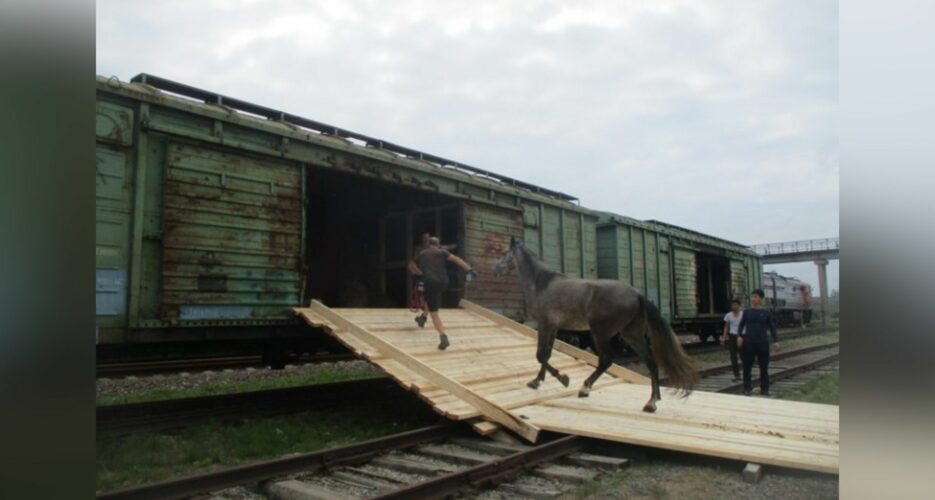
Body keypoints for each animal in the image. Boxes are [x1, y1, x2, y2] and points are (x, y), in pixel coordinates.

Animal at [494, 238, 700, 414]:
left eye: (504, 252)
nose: (494, 269)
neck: (541, 284)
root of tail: (636, 294)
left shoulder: (545, 325)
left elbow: (541, 355)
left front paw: (563, 379)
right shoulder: (552, 328)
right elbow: (546, 355)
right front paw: (536, 381)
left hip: (600, 333)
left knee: (606, 360)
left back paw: (585, 388)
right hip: (631, 334)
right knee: (651, 362)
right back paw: (652, 402)